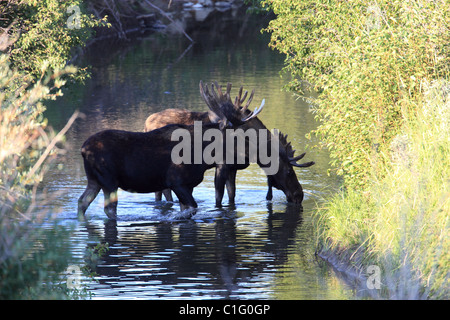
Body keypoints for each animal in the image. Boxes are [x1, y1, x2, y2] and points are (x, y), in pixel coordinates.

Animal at [78, 80, 266, 220]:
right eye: (238, 135)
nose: (249, 155)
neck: (202, 157)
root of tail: (83, 149)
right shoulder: (176, 181)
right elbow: (192, 208)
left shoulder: (188, 185)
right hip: (109, 180)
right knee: (108, 209)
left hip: (94, 180)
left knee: (82, 202)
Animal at [146, 81, 314, 206]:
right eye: (289, 171)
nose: (299, 194)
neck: (252, 149)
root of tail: (147, 122)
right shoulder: (222, 165)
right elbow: (219, 198)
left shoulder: (233, 168)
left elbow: (232, 196)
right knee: (163, 190)